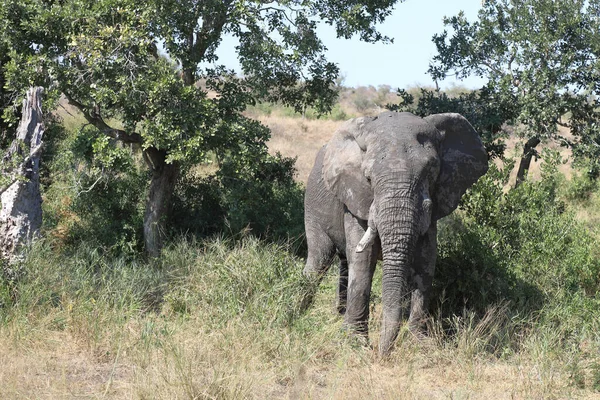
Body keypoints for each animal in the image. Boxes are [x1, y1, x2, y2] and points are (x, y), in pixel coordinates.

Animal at [304, 111, 488, 354]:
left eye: (431, 173)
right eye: (368, 178)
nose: (381, 354)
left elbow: (426, 262)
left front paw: (420, 343)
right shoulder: (355, 197)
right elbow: (363, 261)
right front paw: (355, 342)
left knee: (343, 263)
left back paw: (338, 315)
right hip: (312, 204)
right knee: (319, 258)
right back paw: (298, 312)